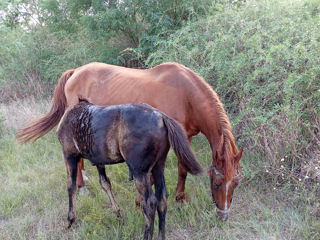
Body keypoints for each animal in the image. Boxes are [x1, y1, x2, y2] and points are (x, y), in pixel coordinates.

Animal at [16, 62, 242, 221]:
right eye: (217, 182)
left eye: (236, 184)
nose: (223, 215)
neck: (185, 94)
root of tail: (74, 72)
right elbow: (172, 171)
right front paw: (159, 199)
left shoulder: (187, 138)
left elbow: (182, 170)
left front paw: (179, 198)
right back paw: (81, 187)